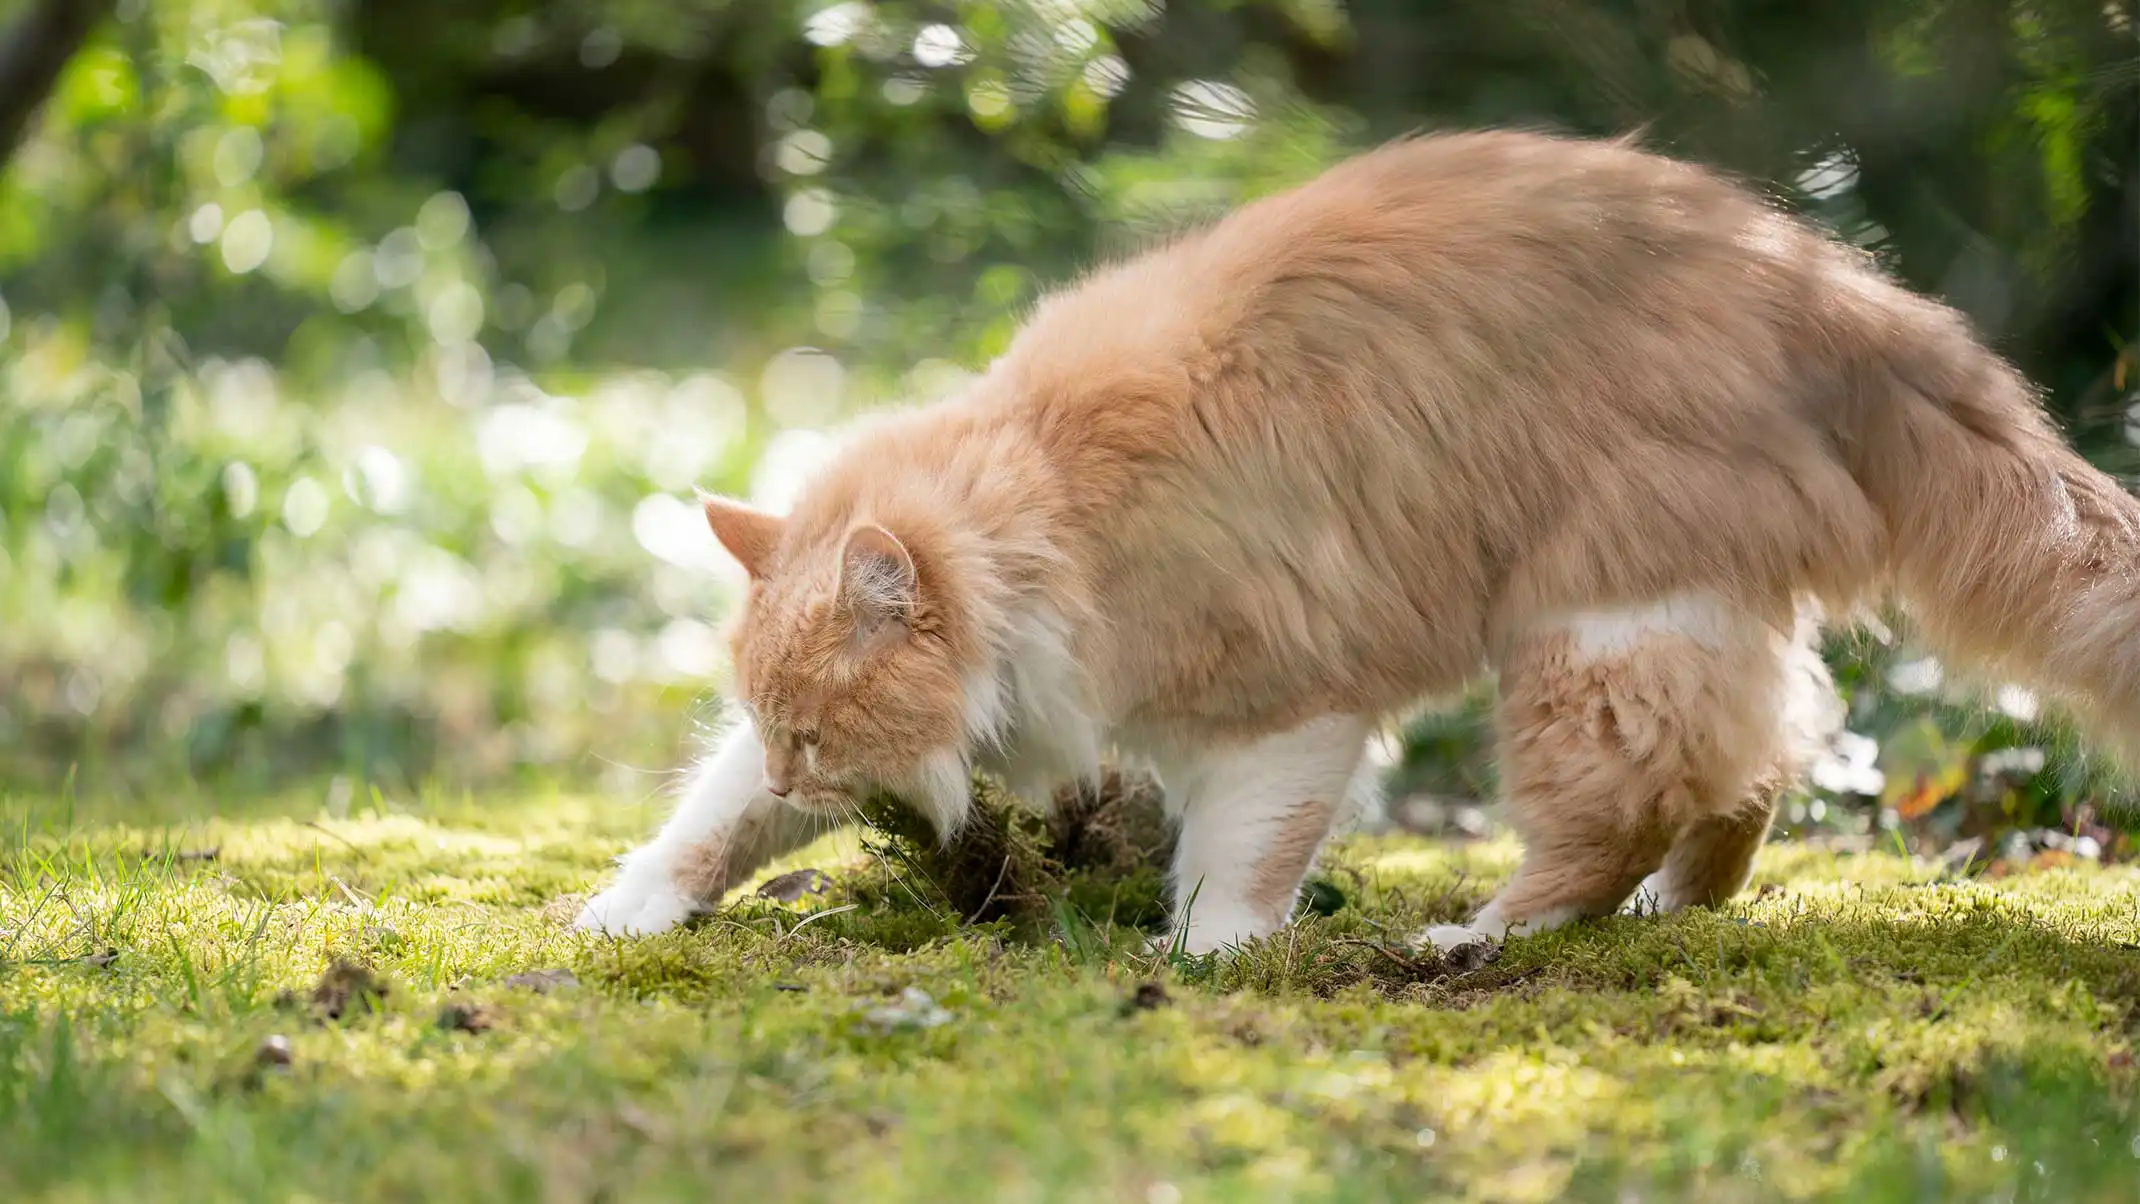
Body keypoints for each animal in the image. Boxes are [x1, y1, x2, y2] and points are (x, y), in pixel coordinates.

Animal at [573, 129, 2140, 962]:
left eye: (820, 734)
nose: (798, 770)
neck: (1047, 511)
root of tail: (1829, 281)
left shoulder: (1290, 710)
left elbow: (1236, 862)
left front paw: (1207, 960)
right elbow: (705, 823)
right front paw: (627, 910)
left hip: (1587, 634)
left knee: (1622, 811)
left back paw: (1486, 935)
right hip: (1681, 620)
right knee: (1758, 766)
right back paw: (1672, 912)